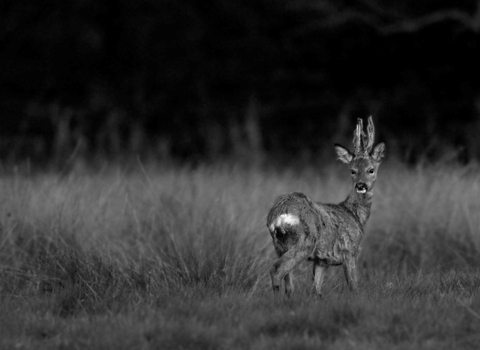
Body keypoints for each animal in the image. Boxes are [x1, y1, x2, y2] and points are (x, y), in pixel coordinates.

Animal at [268, 117, 384, 296]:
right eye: (352, 170)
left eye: (371, 170)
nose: (361, 185)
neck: (355, 215)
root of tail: (279, 215)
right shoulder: (349, 251)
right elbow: (353, 286)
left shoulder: (321, 261)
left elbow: (316, 290)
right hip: (305, 241)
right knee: (277, 269)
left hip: (279, 245)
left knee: (288, 281)